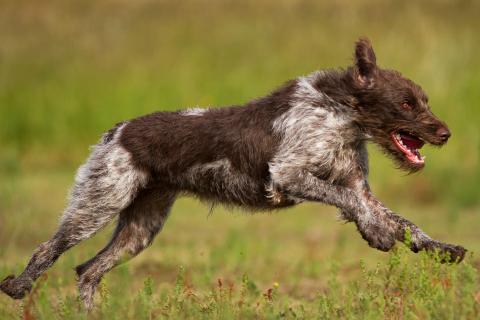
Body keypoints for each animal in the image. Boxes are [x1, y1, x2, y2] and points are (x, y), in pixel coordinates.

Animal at [0, 38, 464, 310]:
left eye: (423, 100)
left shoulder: (356, 186)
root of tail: (117, 131)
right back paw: (19, 287)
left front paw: (437, 247)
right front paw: (378, 234)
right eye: (405, 104)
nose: (445, 133)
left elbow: (403, 221)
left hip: (140, 228)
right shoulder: (288, 175)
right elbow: (357, 207)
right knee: (48, 250)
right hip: (96, 206)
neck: (340, 114)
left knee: (88, 271)